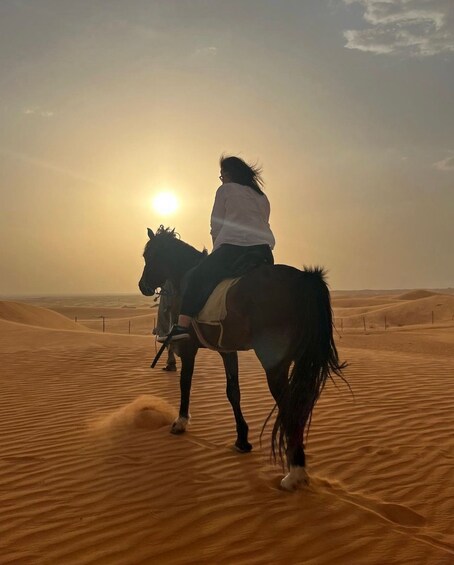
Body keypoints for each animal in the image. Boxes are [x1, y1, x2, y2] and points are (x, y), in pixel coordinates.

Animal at [138, 225, 344, 490]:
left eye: (148, 256)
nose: (142, 285)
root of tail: (303, 280)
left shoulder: (188, 348)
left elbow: (185, 383)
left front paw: (181, 422)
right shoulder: (227, 350)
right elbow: (233, 391)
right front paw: (242, 439)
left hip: (274, 364)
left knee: (288, 404)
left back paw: (295, 473)